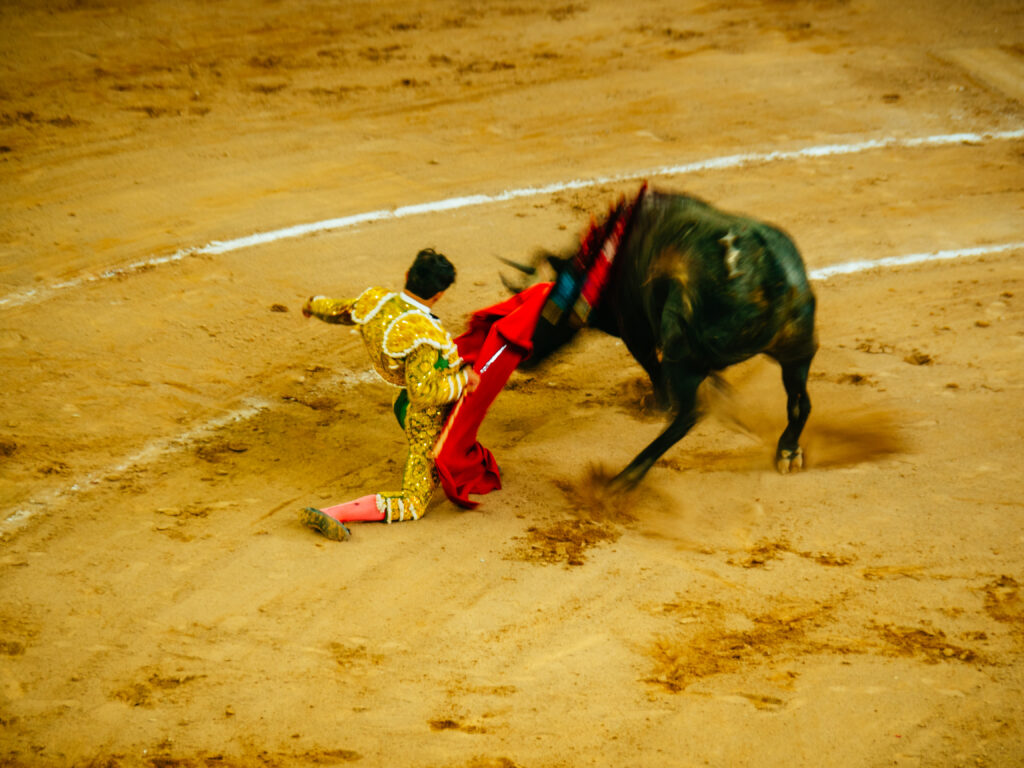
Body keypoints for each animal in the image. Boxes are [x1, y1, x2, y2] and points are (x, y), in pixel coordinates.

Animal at [503, 191, 815, 493]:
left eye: (542, 305)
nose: (524, 357)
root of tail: (767, 274)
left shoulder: (636, 333)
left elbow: (653, 369)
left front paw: (657, 406)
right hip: (798, 351)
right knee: (800, 402)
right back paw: (787, 451)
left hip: (682, 353)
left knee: (689, 414)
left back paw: (622, 479)